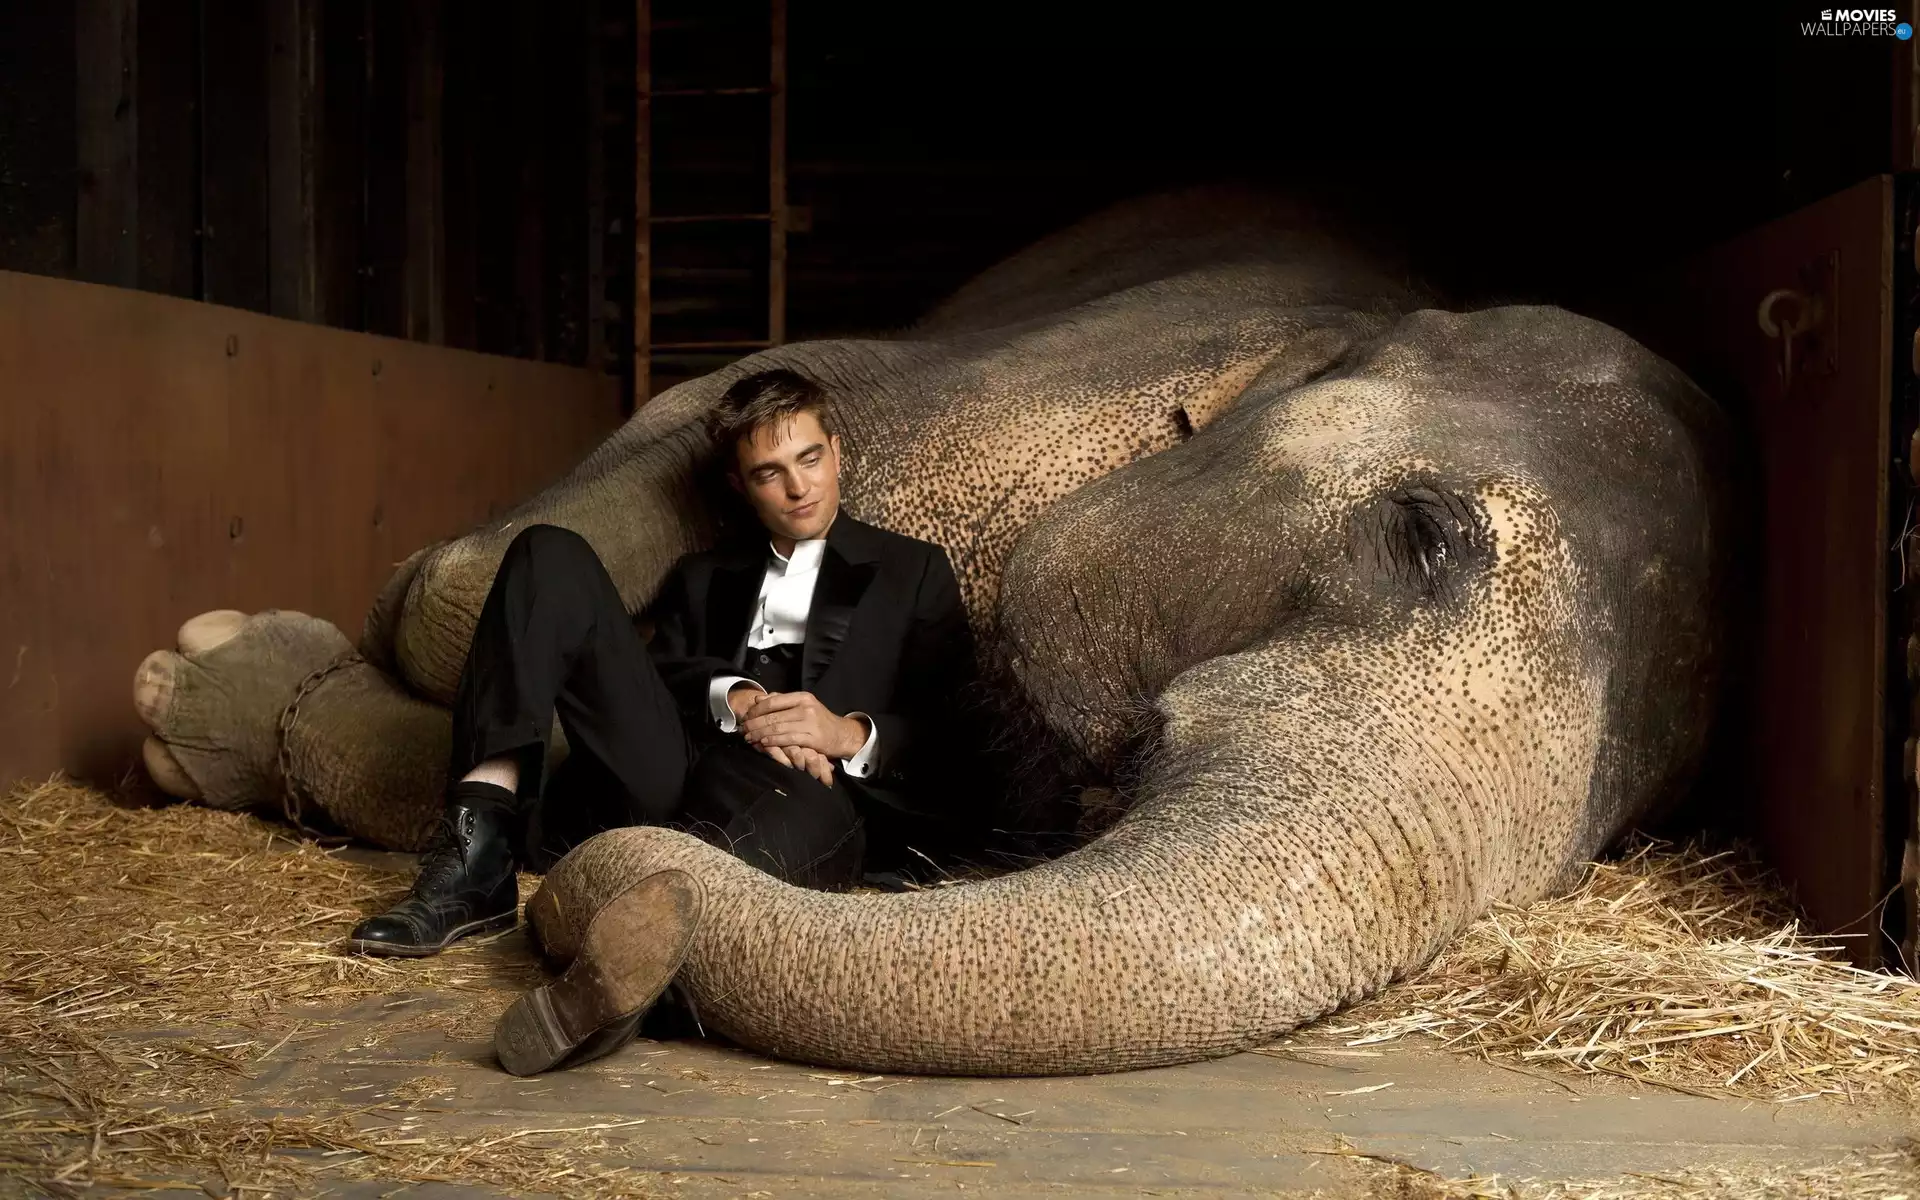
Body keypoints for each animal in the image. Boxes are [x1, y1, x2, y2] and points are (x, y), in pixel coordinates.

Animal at [132, 187, 1735, 1075]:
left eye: (1616, 833)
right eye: (1420, 532)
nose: (602, 932)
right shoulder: (1011, 379)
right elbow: (544, 534)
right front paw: (228, 670)